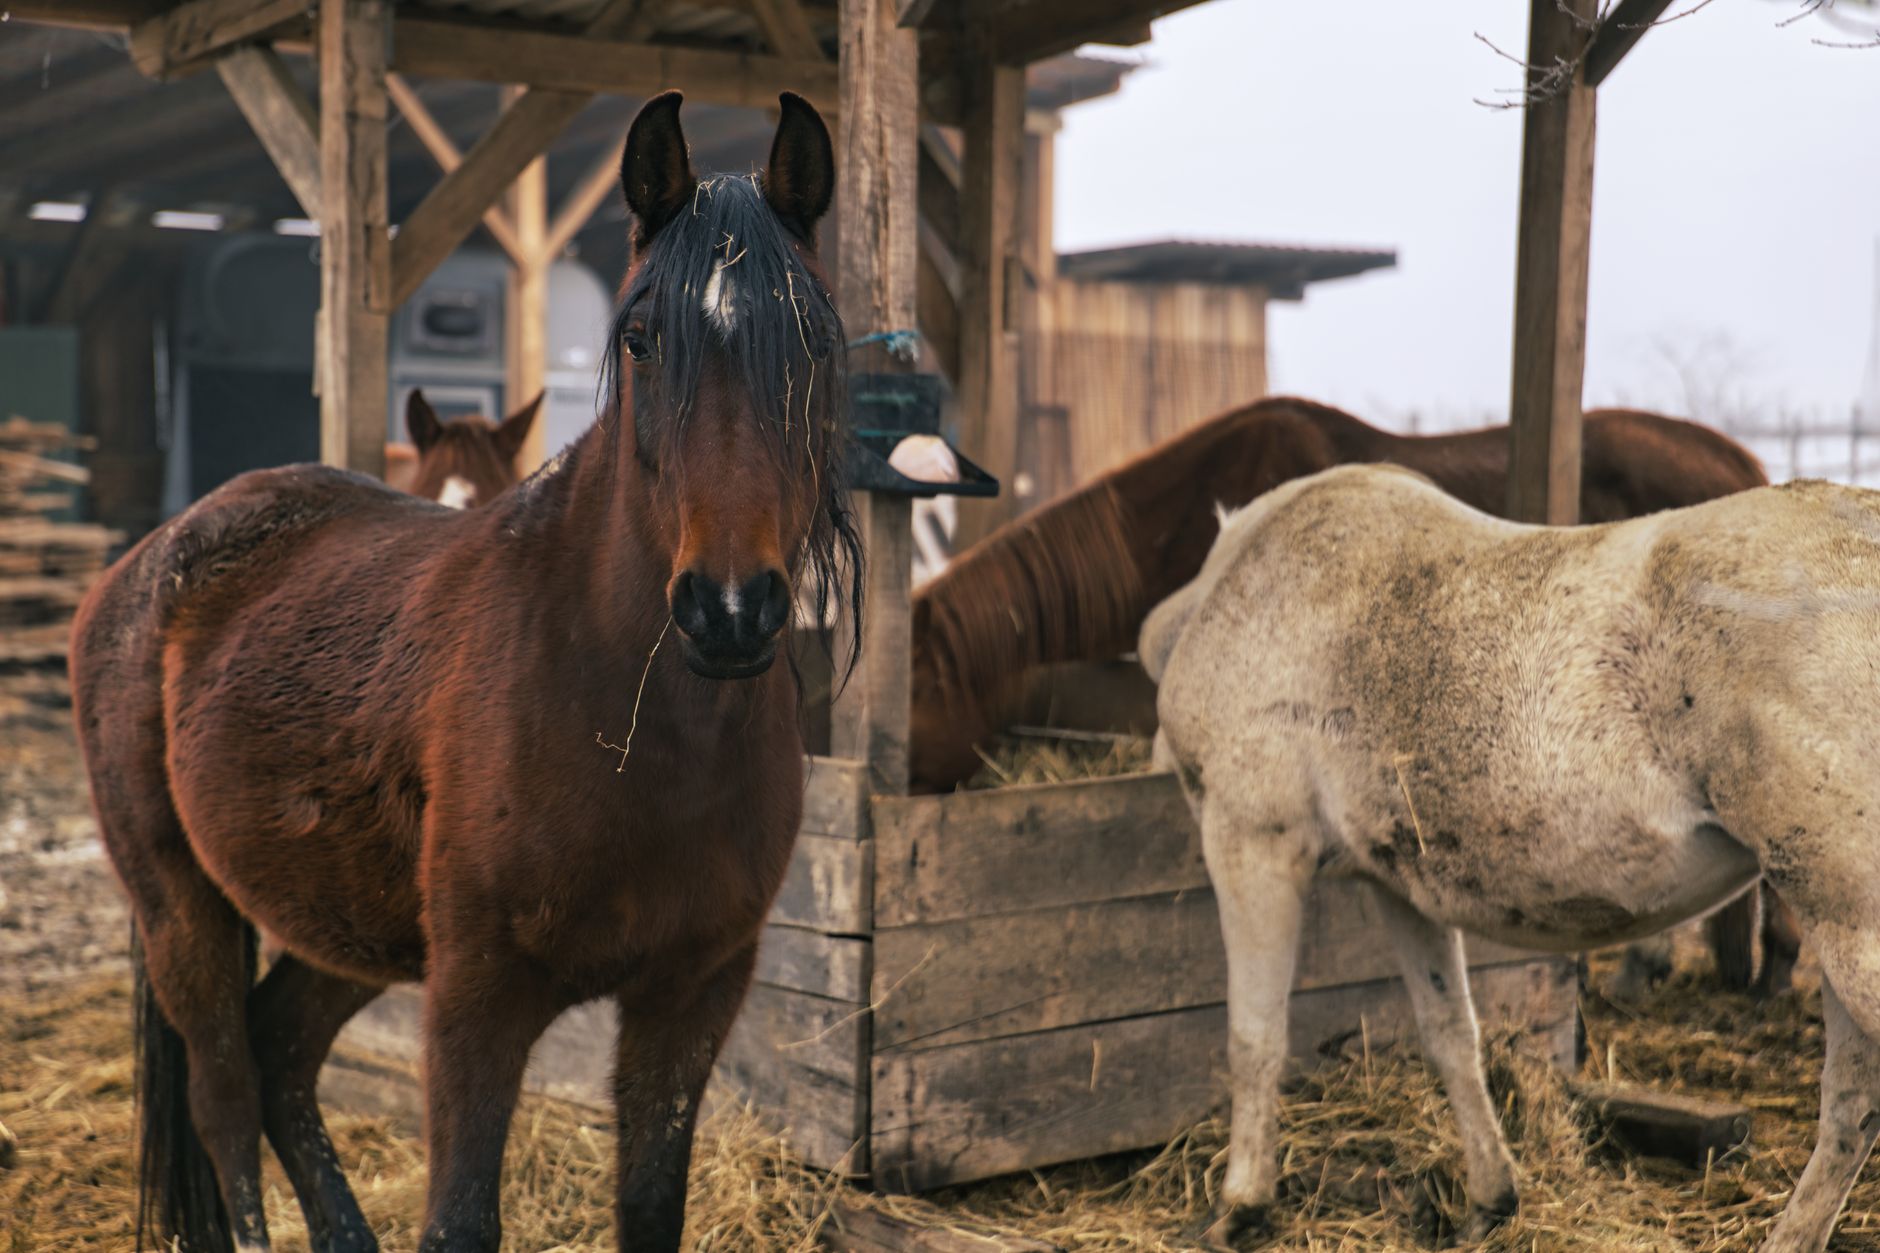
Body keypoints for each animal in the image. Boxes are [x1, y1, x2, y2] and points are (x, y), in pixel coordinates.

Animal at [1143, 466, 1880, 1252]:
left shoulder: (1251, 840)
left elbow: (1253, 1038)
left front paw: (1242, 1203)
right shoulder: (1397, 884)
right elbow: (1450, 1036)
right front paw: (1491, 1194)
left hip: (1849, 928)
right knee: (1850, 1108)